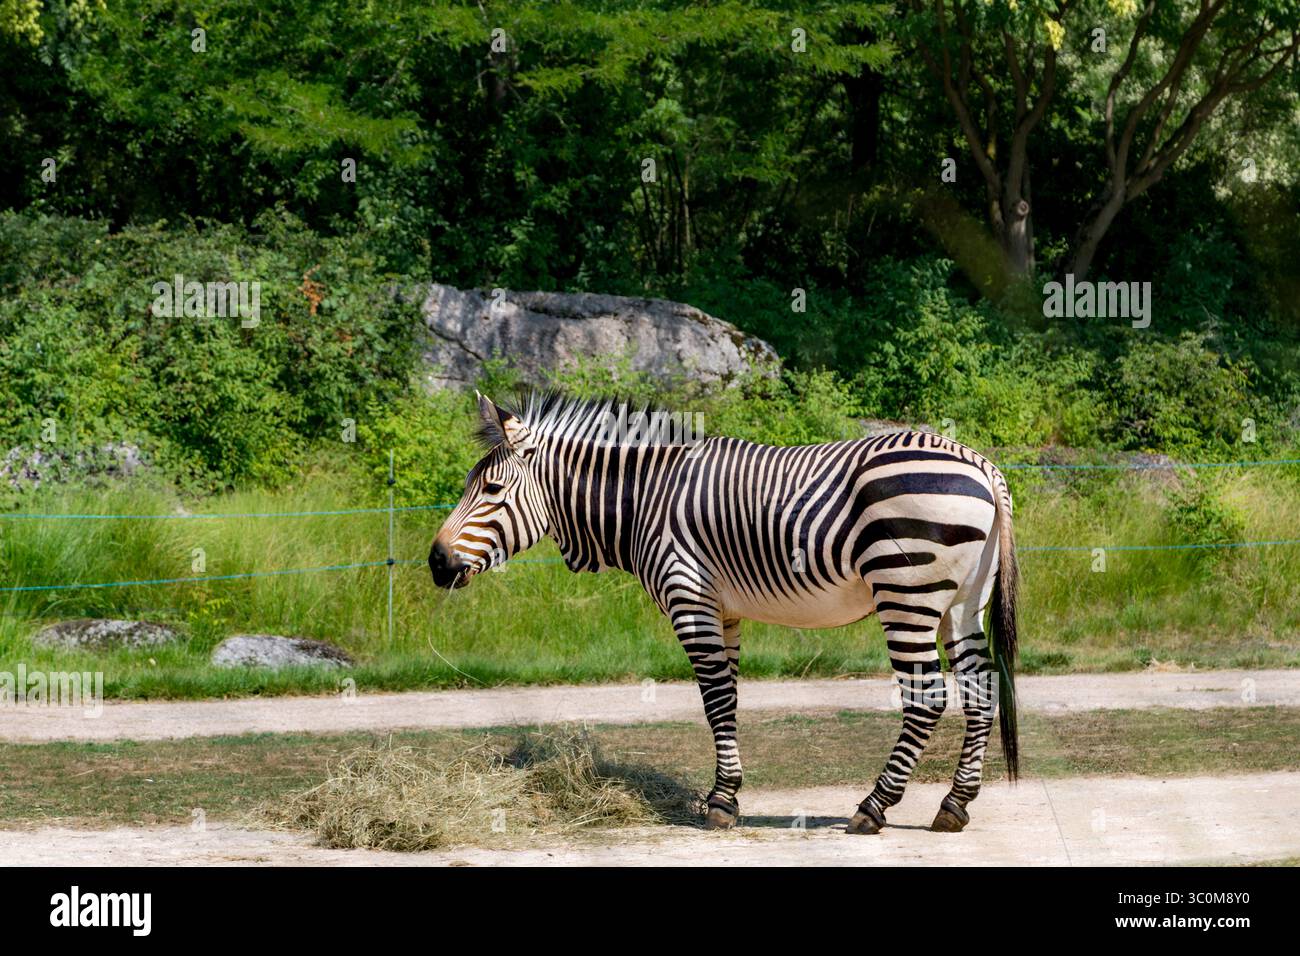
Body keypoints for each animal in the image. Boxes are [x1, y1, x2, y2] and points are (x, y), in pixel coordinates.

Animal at [429, 392, 1020, 834]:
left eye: (492, 489)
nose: (435, 562)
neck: (645, 502)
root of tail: (984, 466)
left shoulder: (688, 597)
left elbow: (714, 701)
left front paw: (720, 804)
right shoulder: (725, 609)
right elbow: (730, 699)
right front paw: (728, 794)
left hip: (906, 592)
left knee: (928, 697)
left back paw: (873, 809)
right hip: (963, 600)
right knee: (980, 687)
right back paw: (954, 805)